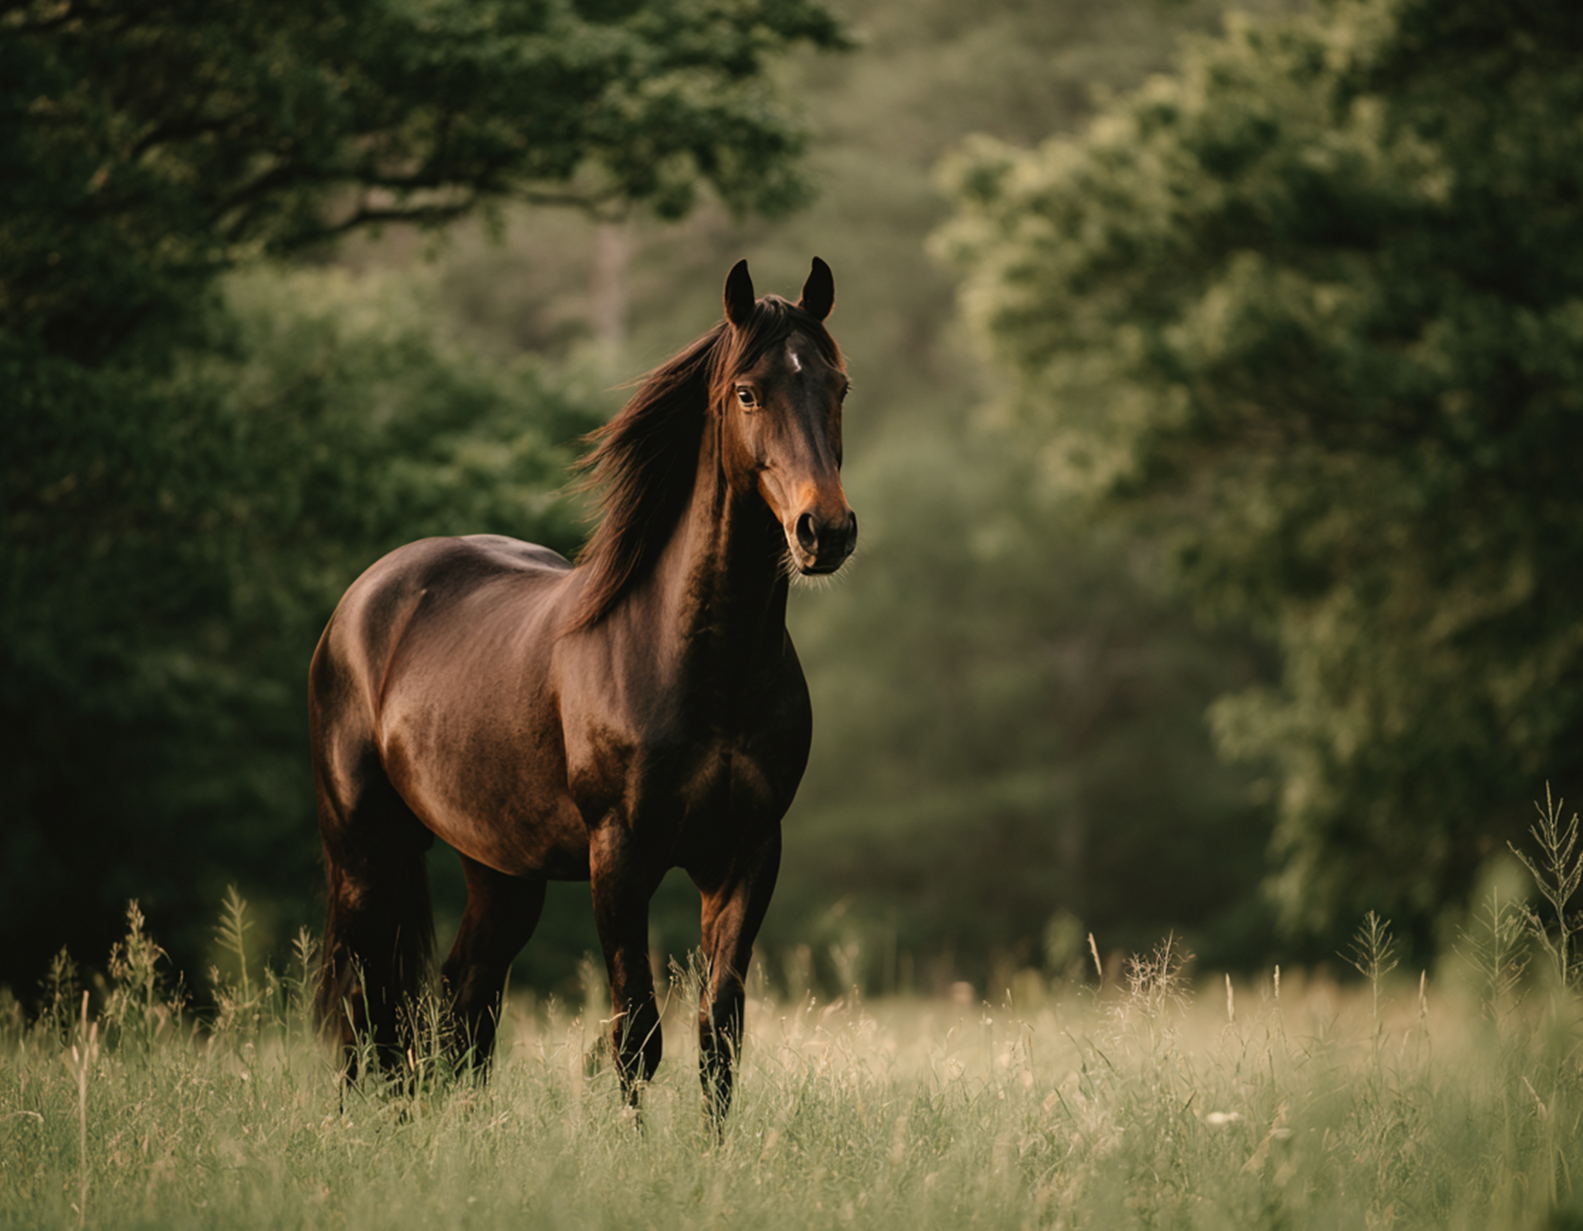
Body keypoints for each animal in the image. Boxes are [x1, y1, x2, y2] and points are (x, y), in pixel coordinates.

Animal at [309, 258, 855, 1122]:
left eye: (838, 384)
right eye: (748, 391)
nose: (823, 531)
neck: (702, 663)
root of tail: (361, 600)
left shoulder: (746, 852)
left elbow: (718, 1035)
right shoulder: (619, 856)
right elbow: (637, 1036)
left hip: (500, 871)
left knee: (463, 1001)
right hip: (366, 852)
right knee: (369, 1009)